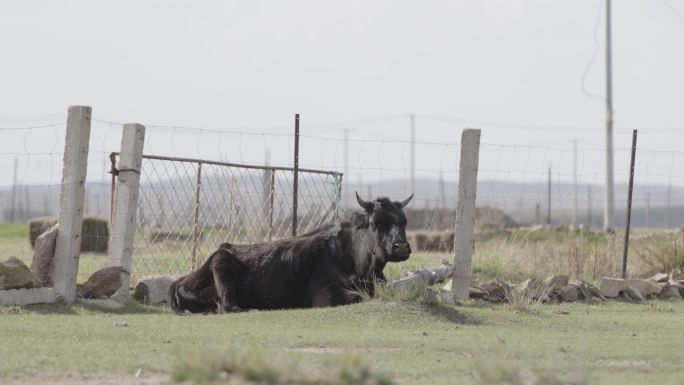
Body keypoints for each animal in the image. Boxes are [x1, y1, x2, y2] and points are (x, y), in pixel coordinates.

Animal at [168, 190, 414, 314]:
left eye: (404, 221)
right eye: (375, 222)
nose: (401, 246)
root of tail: (180, 280)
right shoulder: (322, 293)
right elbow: (358, 297)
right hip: (222, 259)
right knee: (228, 306)